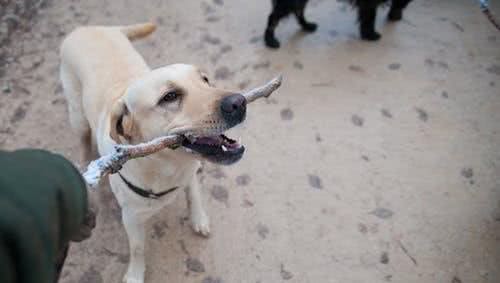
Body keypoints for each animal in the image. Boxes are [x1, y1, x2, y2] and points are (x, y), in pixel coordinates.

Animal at [60, 22, 246, 283]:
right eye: (170, 97)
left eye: (205, 80)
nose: (240, 102)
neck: (167, 166)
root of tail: (88, 27)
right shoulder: (131, 217)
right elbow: (138, 248)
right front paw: (135, 274)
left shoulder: (190, 172)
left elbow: (194, 195)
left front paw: (198, 218)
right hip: (76, 115)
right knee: (83, 139)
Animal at [264, 0, 412, 48]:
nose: (397, 17)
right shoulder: (369, 3)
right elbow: (370, 16)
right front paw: (370, 34)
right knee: (273, 17)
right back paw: (270, 40)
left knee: (298, 11)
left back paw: (307, 26)